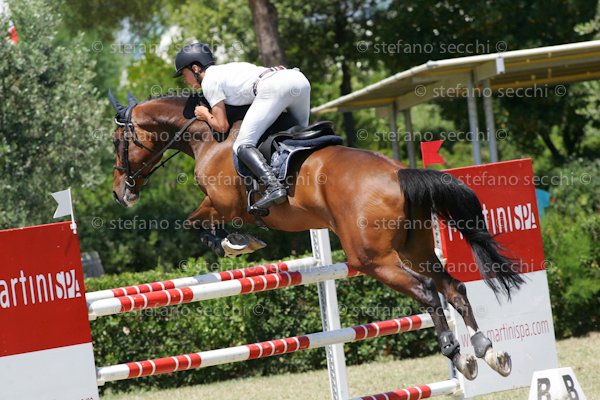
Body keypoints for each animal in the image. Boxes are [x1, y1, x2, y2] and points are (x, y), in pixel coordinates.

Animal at [109, 93, 524, 381]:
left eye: (116, 142)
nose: (119, 193)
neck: (208, 135)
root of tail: (400, 173)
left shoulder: (224, 204)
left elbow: (194, 223)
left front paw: (233, 243)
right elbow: (197, 223)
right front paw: (238, 242)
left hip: (372, 260)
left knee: (427, 291)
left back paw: (458, 355)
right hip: (415, 249)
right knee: (453, 288)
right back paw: (488, 352)